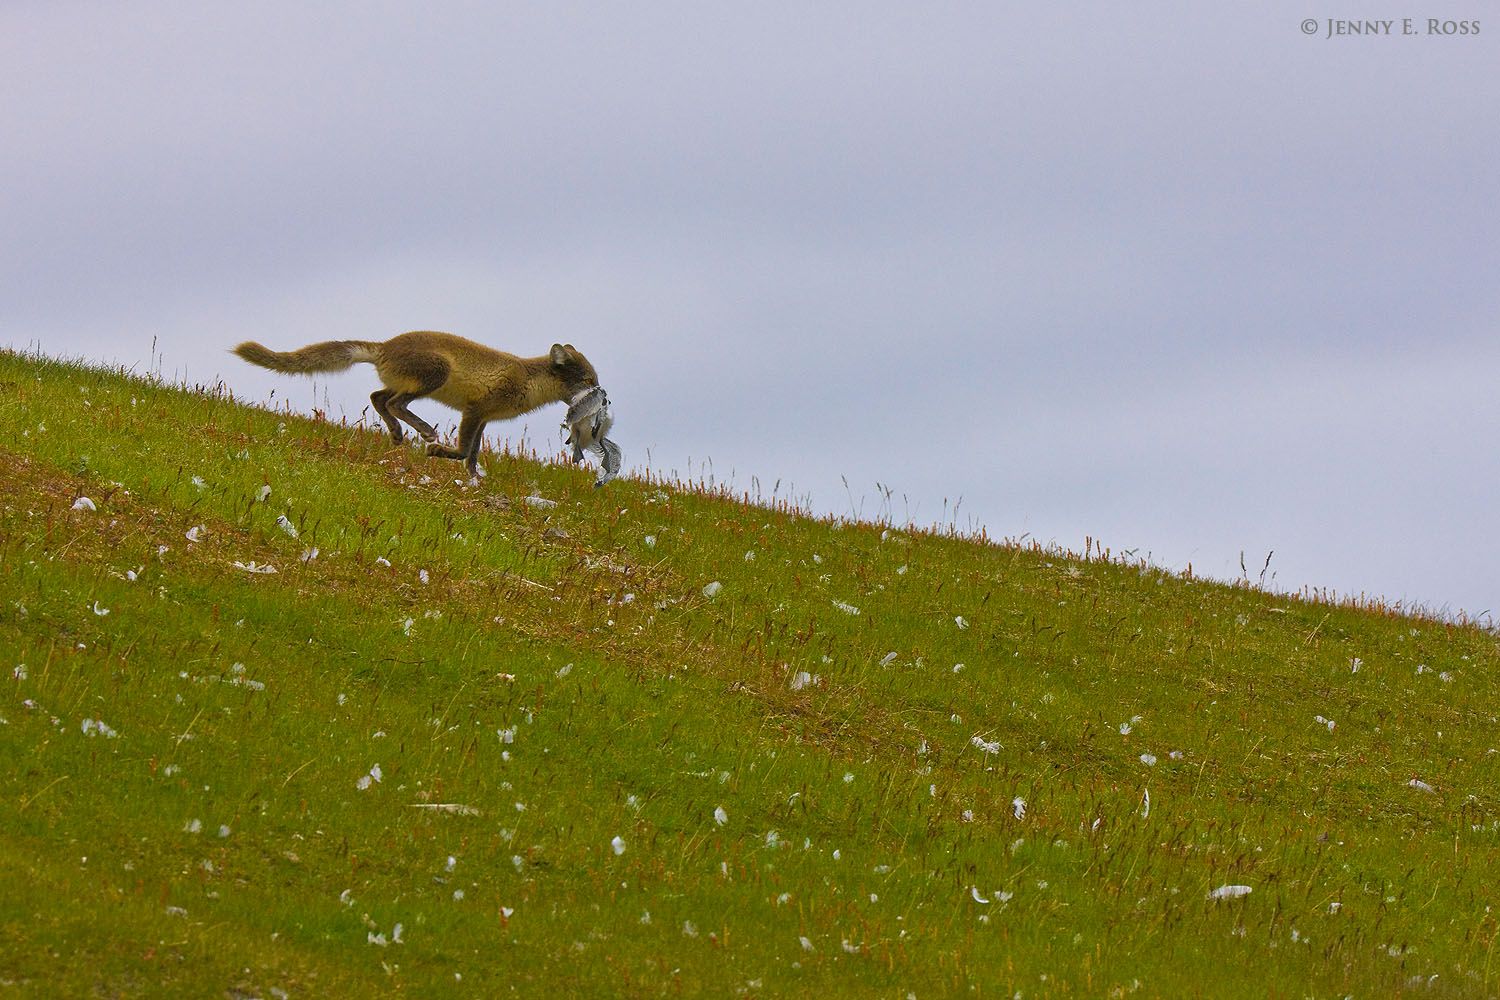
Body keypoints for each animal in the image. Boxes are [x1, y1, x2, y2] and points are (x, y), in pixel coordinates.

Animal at [233, 331, 600, 477]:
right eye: (586, 381)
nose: (603, 394)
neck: (527, 380)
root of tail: (385, 346)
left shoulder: (484, 417)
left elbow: (474, 454)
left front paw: (474, 478)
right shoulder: (474, 410)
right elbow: (463, 450)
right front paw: (439, 452)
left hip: (404, 382)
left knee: (378, 398)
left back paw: (397, 435)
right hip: (434, 374)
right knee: (394, 403)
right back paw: (423, 432)